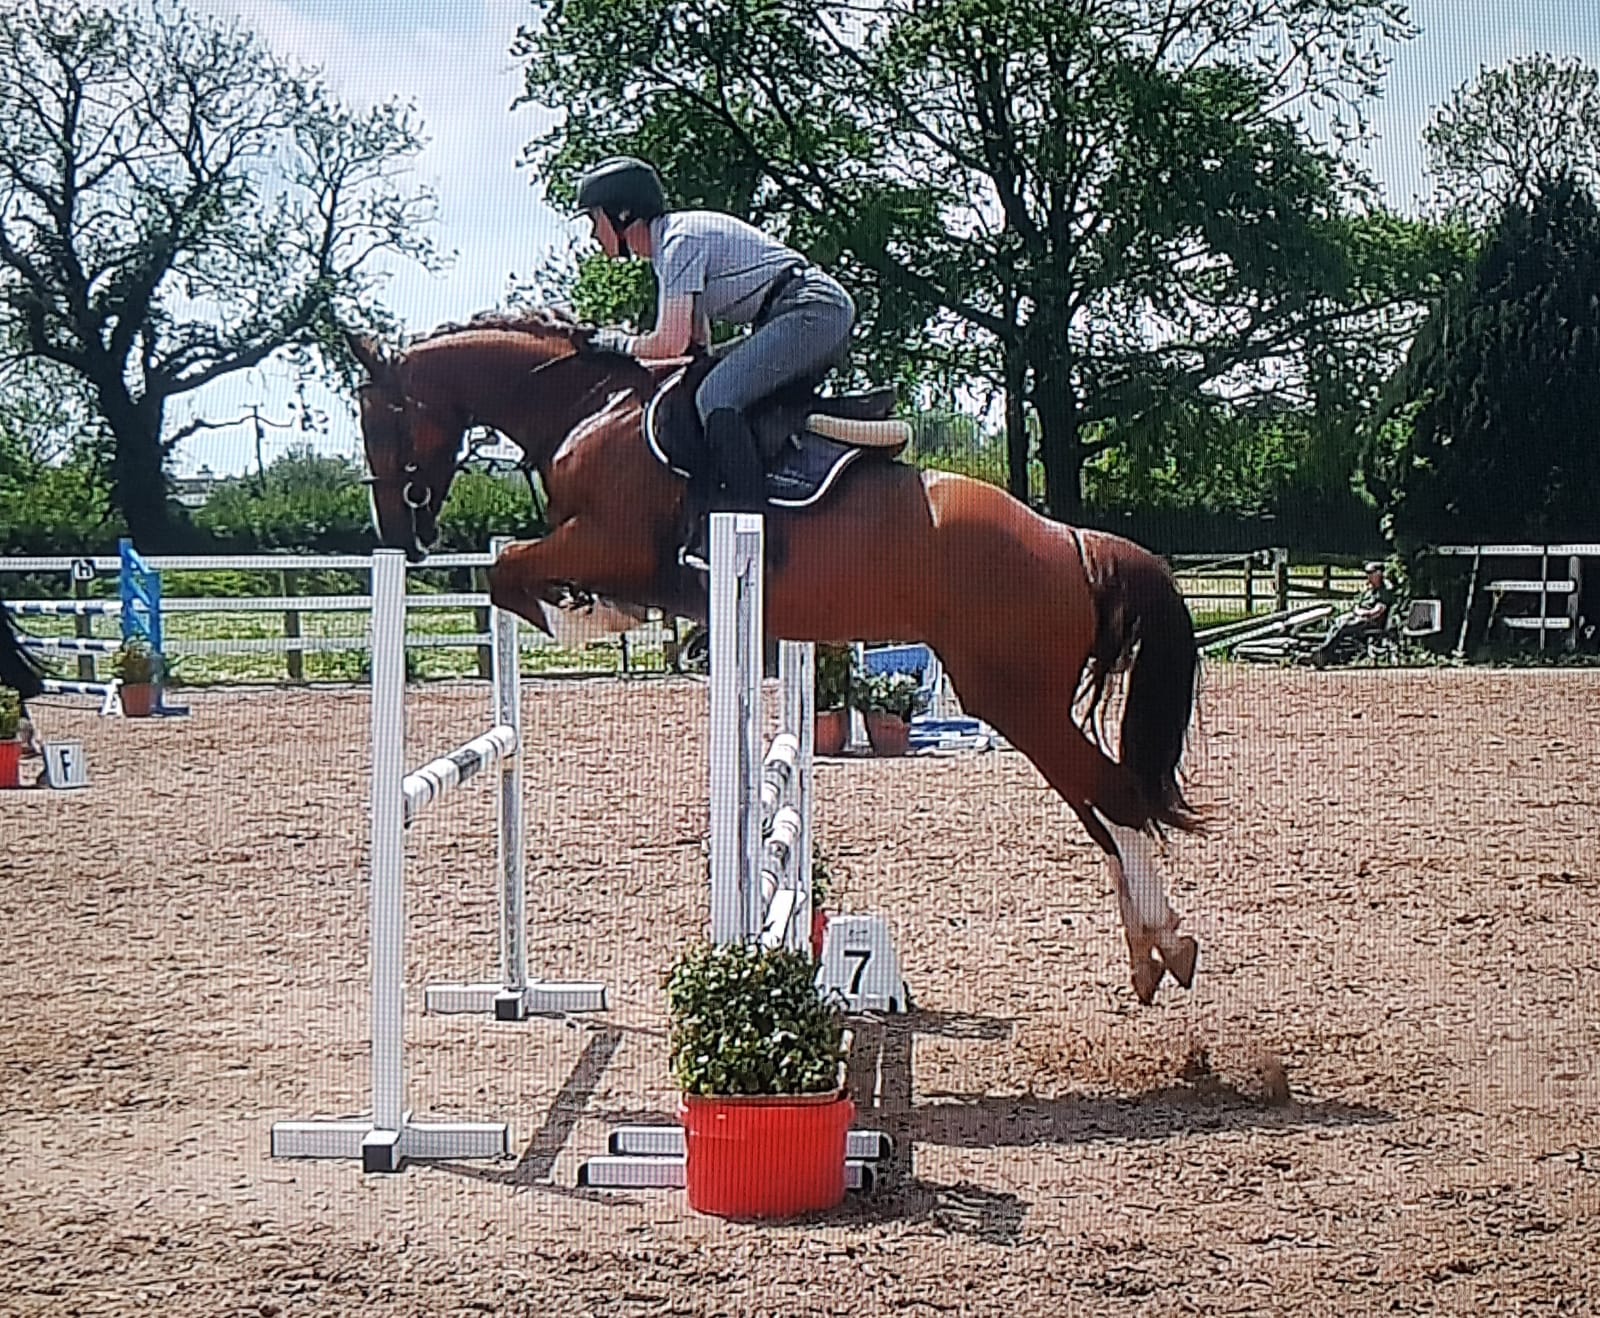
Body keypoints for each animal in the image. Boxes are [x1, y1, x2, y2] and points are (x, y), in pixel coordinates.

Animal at [347, 313, 1203, 1004]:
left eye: (377, 416)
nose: (398, 536)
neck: (590, 408)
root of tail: (1070, 540)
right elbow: (519, 572)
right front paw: (609, 618)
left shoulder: (607, 540)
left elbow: (511, 571)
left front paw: (588, 619)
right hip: (1020, 702)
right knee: (1101, 806)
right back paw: (1148, 949)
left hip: (1012, 698)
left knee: (1114, 797)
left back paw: (1167, 941)